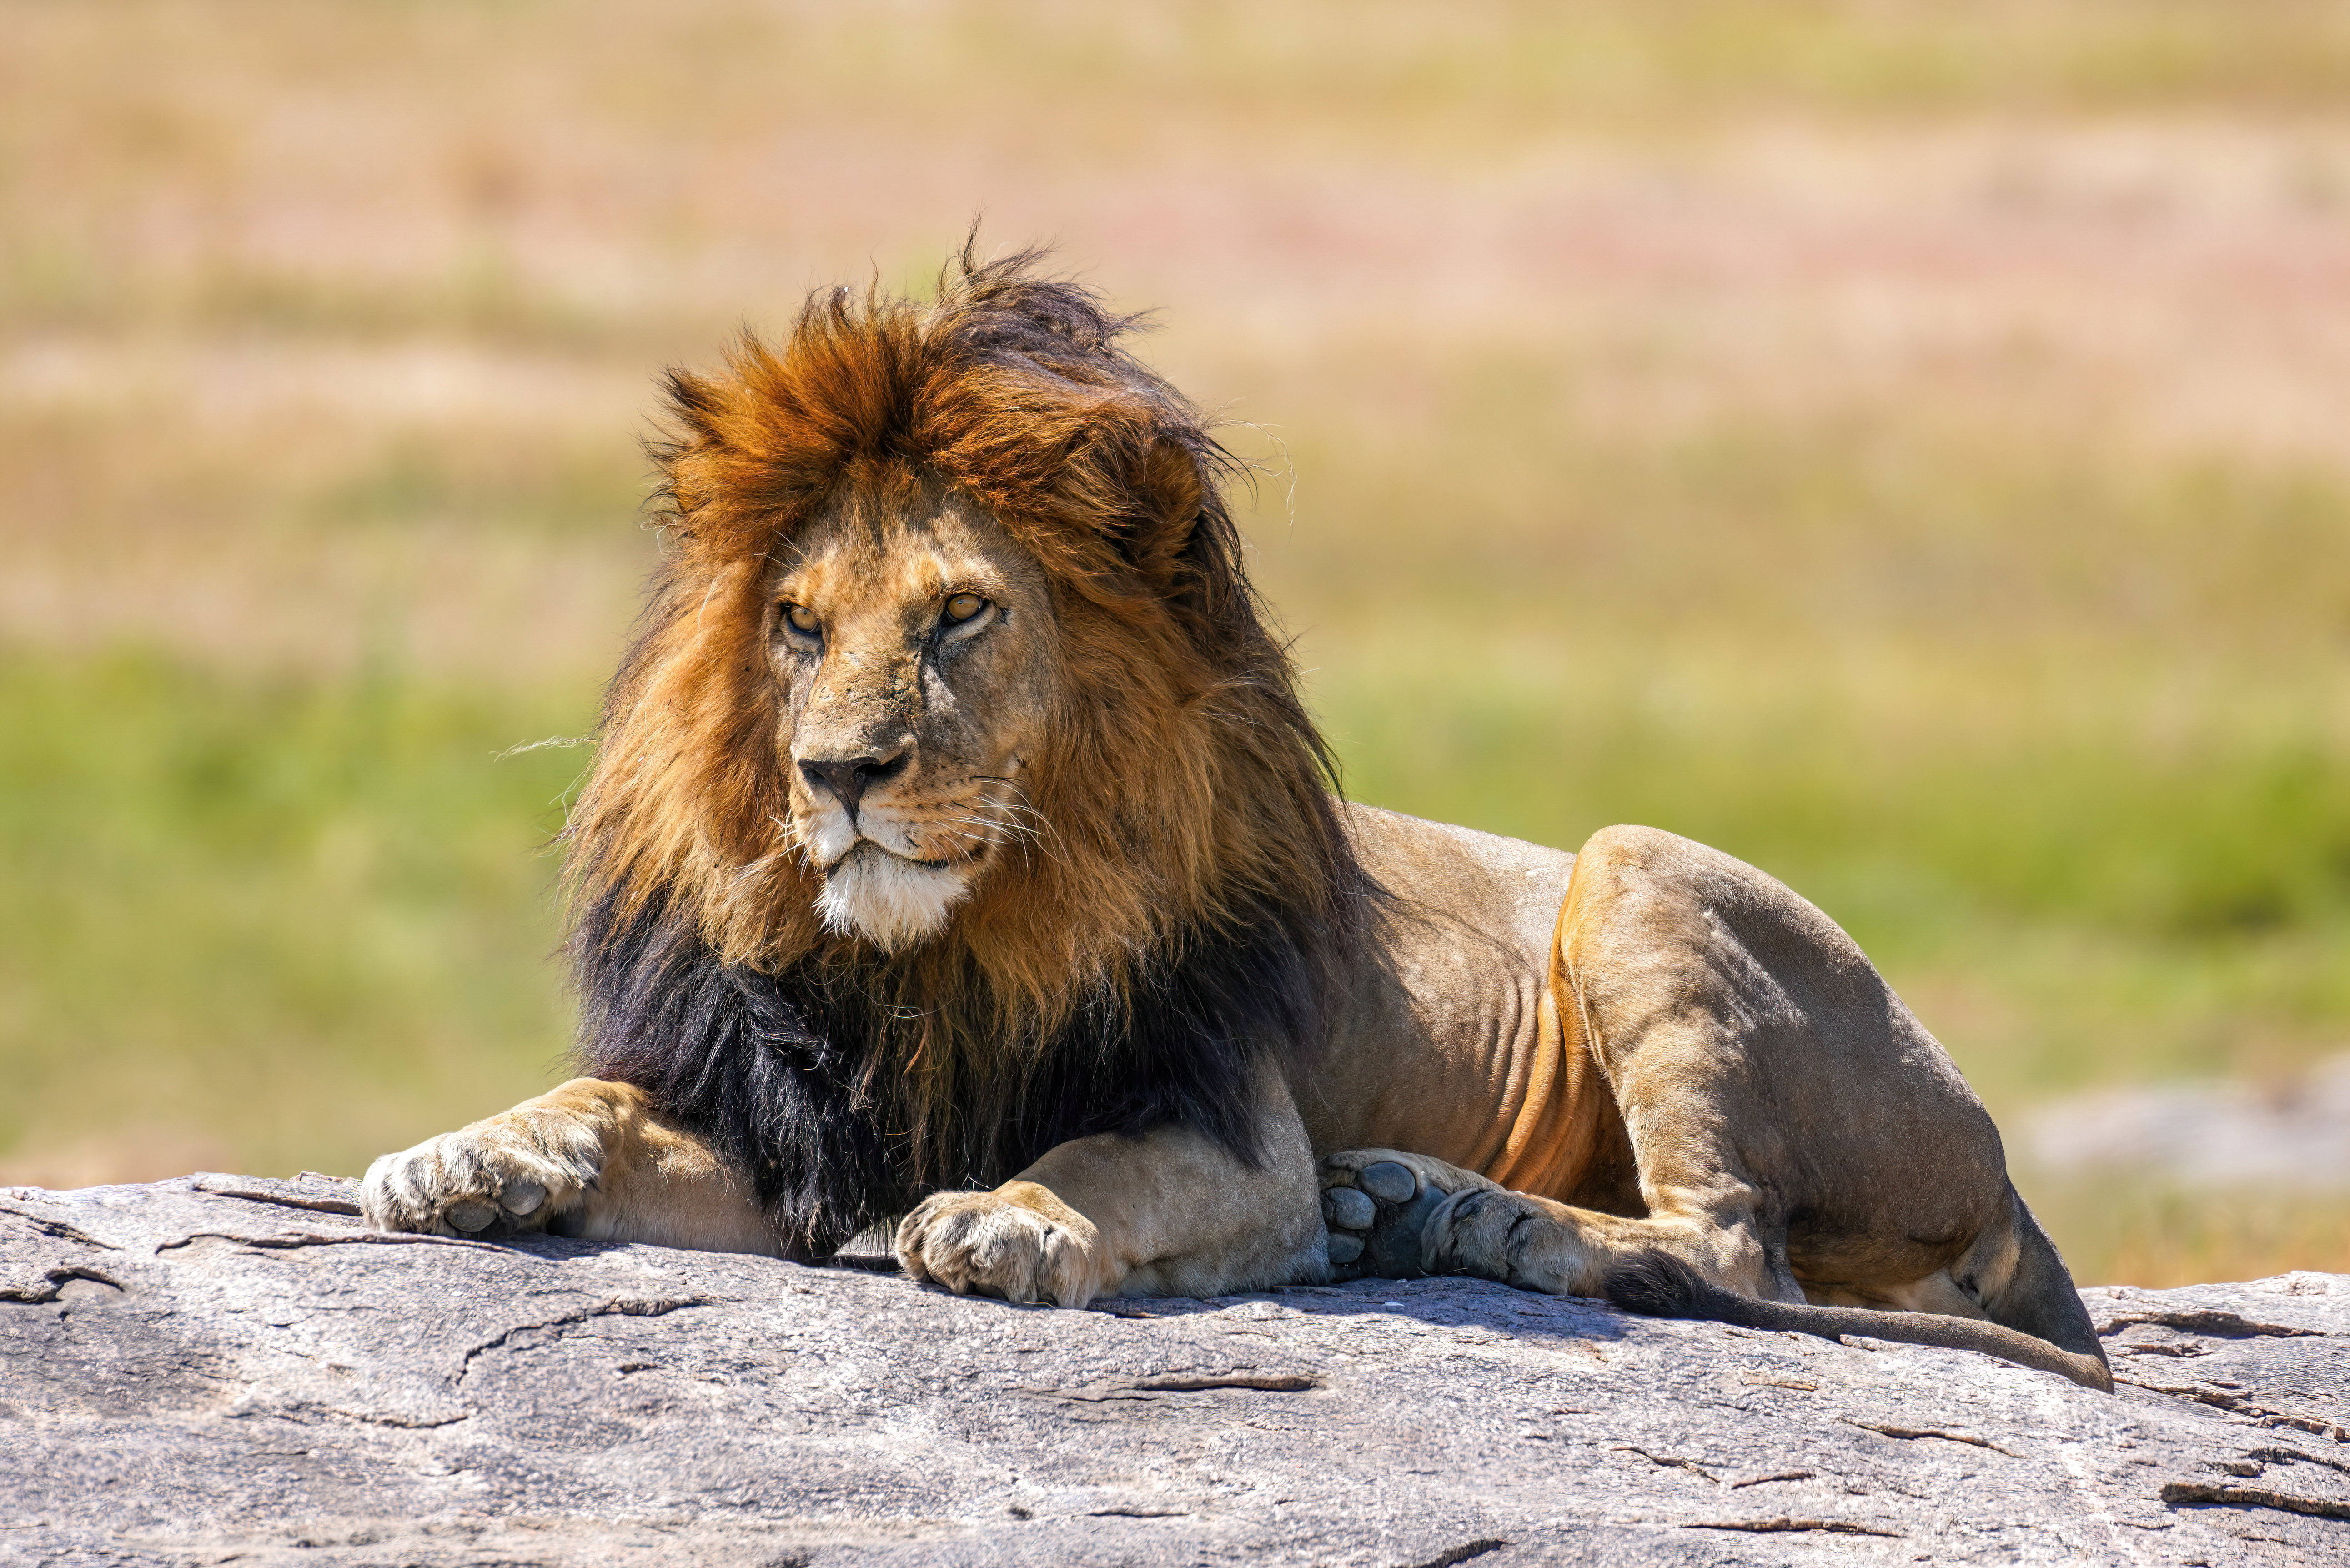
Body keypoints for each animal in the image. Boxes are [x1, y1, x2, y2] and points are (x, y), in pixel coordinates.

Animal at [361, 247, 2112, 1392]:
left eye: (958, 615)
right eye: (795, 624)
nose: (838, 773)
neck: (946, 956)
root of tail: (1999, 1163)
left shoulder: (1232, 1128)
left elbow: (1098, 1164)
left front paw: (1011, 1217)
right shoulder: (788, 1134)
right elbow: (595, 1102)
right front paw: (468, 1153)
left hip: (1634, 870)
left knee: (1728, 1249)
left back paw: (1451, 1213)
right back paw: (1408, 1208)